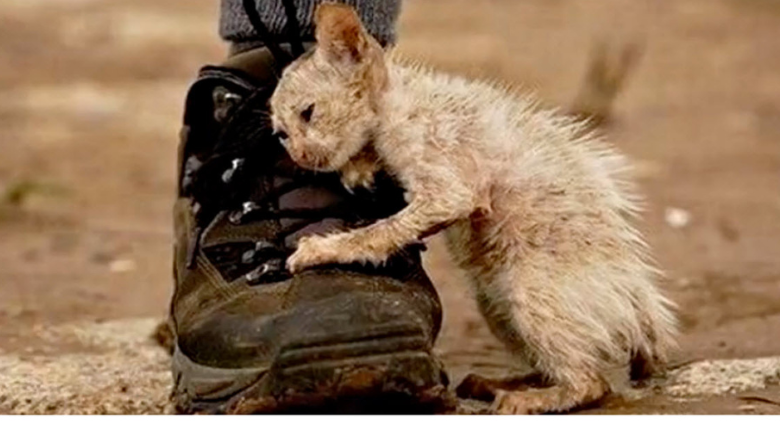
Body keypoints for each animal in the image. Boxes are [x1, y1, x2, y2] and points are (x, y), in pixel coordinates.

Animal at [270, 1, 676, 412]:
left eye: (308, 112)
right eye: (281, 134)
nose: (300, 157)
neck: (398, 100)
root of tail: (642, 309)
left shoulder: (448, 187)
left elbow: (381, 231)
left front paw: (321, 249)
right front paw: (359, 168)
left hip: (529, 292)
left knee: (591, 383)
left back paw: (526, 399)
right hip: (495, 305)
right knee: (563, 367)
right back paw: (496, 384)